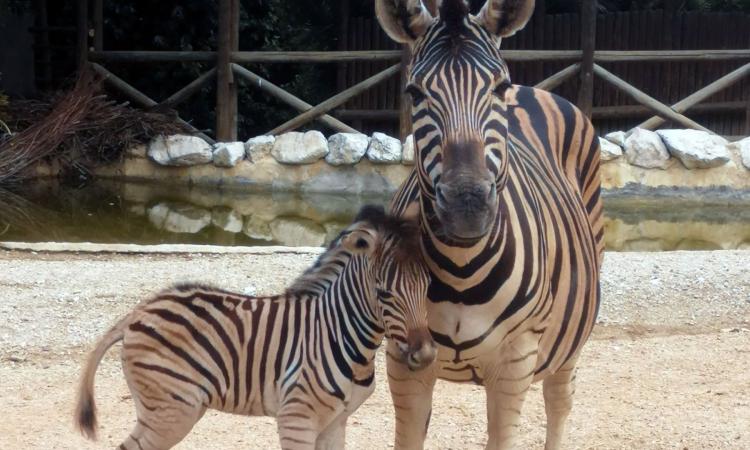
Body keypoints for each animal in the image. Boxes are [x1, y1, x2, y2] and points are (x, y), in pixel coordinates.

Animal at [73, 206, 438, 448]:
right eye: (384, 293)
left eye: (428, 288)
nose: (425, 355)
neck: (342, 334)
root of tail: (138, 311)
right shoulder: (297, 419)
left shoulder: (335, 422)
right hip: (172, 410)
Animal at [376, 0, 604, 450]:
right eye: (414, 93)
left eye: (498, 88)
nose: (467, 205)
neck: (461, 270)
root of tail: (532, 89)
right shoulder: (403, 356)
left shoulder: (515, 362)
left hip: (569, 342)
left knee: (559, 401)